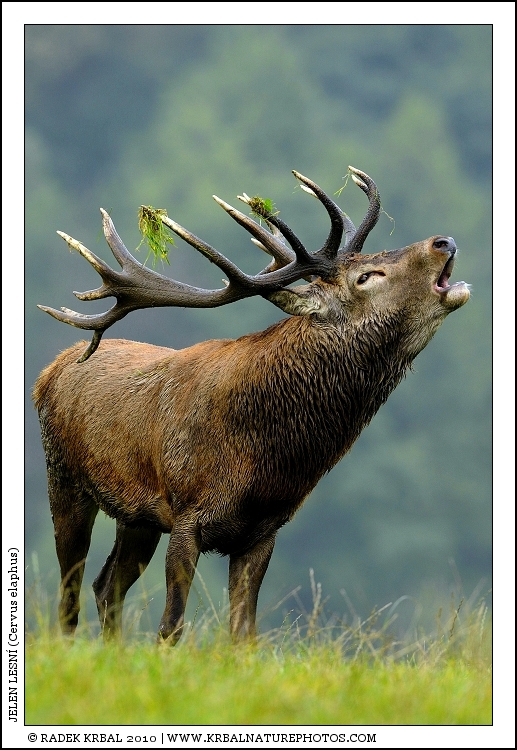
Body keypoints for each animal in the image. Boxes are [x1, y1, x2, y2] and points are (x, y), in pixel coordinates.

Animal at [33, 166, 470, 644]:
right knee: (70, 592)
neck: (264, 461)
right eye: (367, 277)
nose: (443, 241)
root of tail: (49, 370)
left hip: (136, 516)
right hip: (65, 479)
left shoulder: (263, 531)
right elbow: (171, 626)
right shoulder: (188, 514)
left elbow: (244, 634)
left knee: (107, 584)